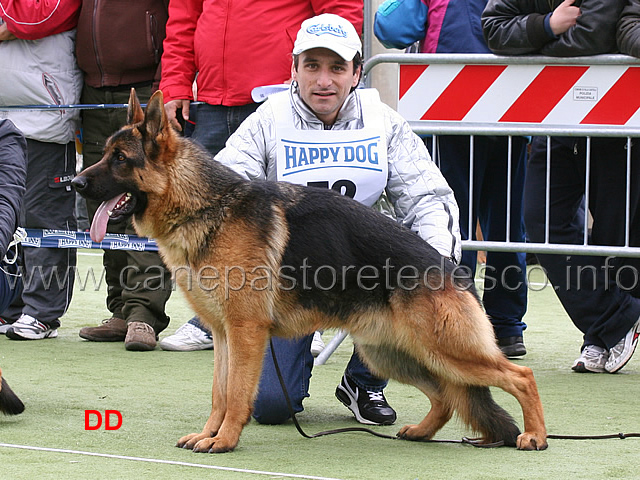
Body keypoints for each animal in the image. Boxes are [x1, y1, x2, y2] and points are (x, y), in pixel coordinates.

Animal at [72, 90, 548, 454]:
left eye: (120, 159)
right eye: (104, 155)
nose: (73, 184)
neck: (206, 205)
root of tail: (452, 270)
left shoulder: (246, 333)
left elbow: (237, 395)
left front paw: (224, 441)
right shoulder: (224, 335)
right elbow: (218, 394)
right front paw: (209, 434)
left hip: (444, 350)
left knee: (520, 377)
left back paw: (535, 436)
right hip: (396, 354)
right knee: (447, 397)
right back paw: (422, 432)